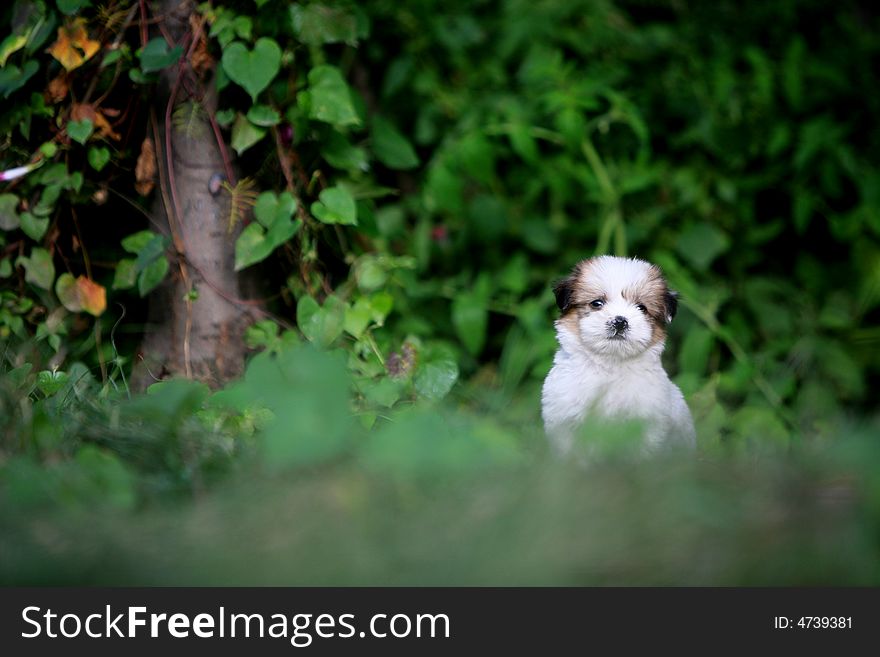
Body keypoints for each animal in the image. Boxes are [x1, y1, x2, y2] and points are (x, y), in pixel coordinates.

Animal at [540, 255, 696, 452]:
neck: (610, 366)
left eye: (641, 307)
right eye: (597, 303)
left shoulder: (648, 426)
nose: (620, 321)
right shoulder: (564, 421)